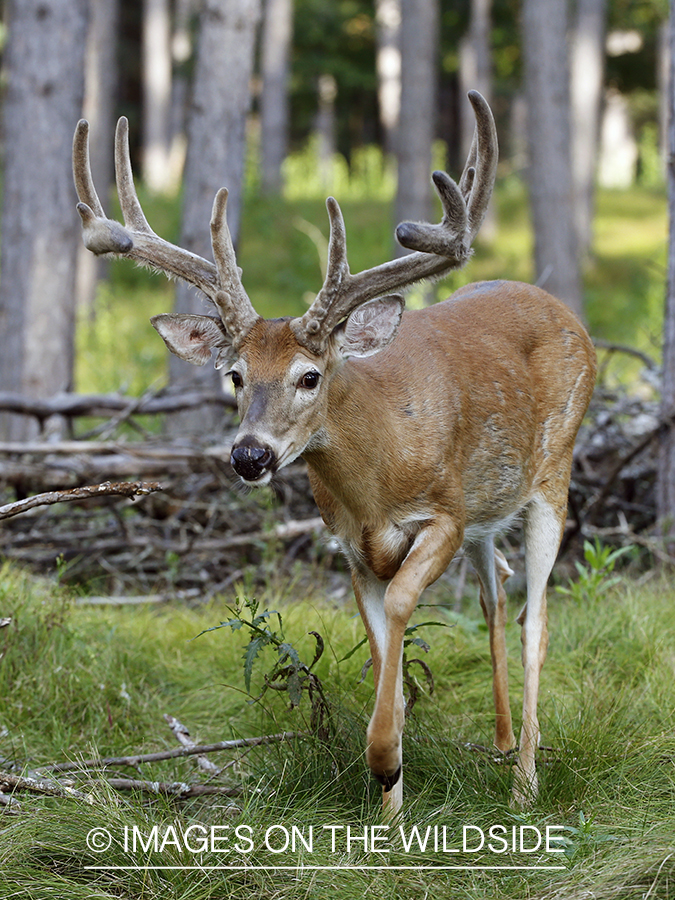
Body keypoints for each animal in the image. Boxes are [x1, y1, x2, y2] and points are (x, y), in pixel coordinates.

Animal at [72, 93, 596, 816]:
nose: (250, 456)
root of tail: (560, 308)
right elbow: (380, 647)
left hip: (553, 473)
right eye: (234, 375)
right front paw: (390, 809)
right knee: (495, 595)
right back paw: (498, 744)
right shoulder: (352, 545)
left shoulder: (445, 514)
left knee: (534, 618)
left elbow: (403, 607)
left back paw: (523, 786)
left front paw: (384, 759)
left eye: (309, 376)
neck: (375, 483)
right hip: (491, 513)